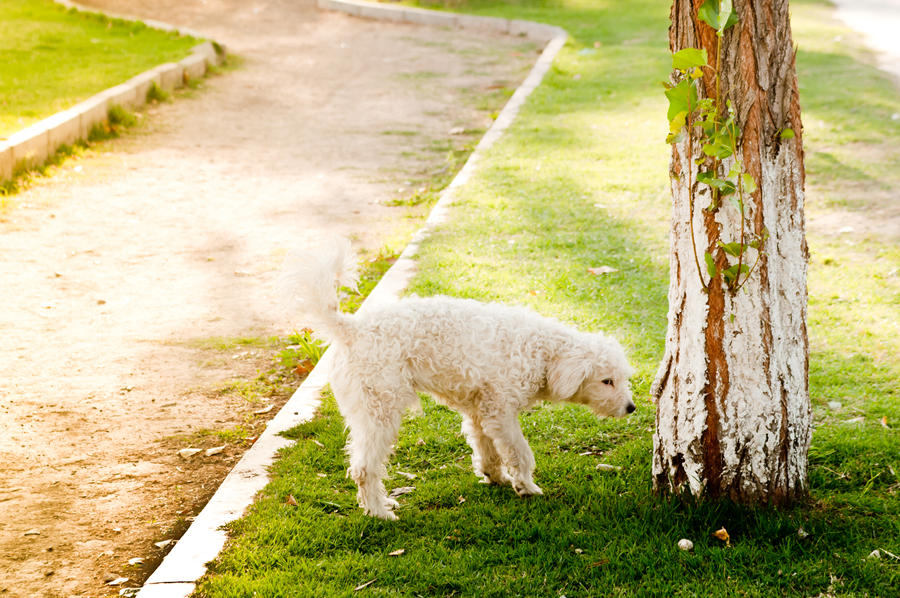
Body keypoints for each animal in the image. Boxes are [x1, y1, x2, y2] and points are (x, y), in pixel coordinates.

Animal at [284, 238, 636, 520]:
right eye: (607, 381)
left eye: (623, 378)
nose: (631, 408)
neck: (540, 352)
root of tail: (351, 328)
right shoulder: (502, 414)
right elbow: (520, 452)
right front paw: (527, 486)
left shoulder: (482, 413)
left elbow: (487, 449)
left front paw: (494, 476)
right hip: (379, 413)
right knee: (363, 468)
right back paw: (379, 511)